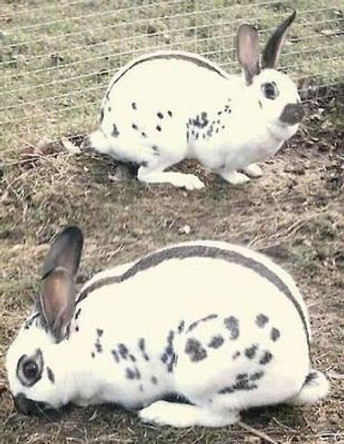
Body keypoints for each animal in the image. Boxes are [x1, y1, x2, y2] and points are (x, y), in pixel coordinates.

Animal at [5, 225, 328, 426]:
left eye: (29, 369)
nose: (21, 407)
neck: (74, 346)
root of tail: (300, 371)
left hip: (199, 371)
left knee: (224, 415)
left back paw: (159, 413)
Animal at [88, 11, 304, 189]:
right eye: (269, 90)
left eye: (293, 87)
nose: (299, 113)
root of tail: (108, 135)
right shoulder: (219, 156)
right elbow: (226, 171)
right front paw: (239, 179)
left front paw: (254, 170)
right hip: (168, 148)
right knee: (145, 175)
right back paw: (190, 181)